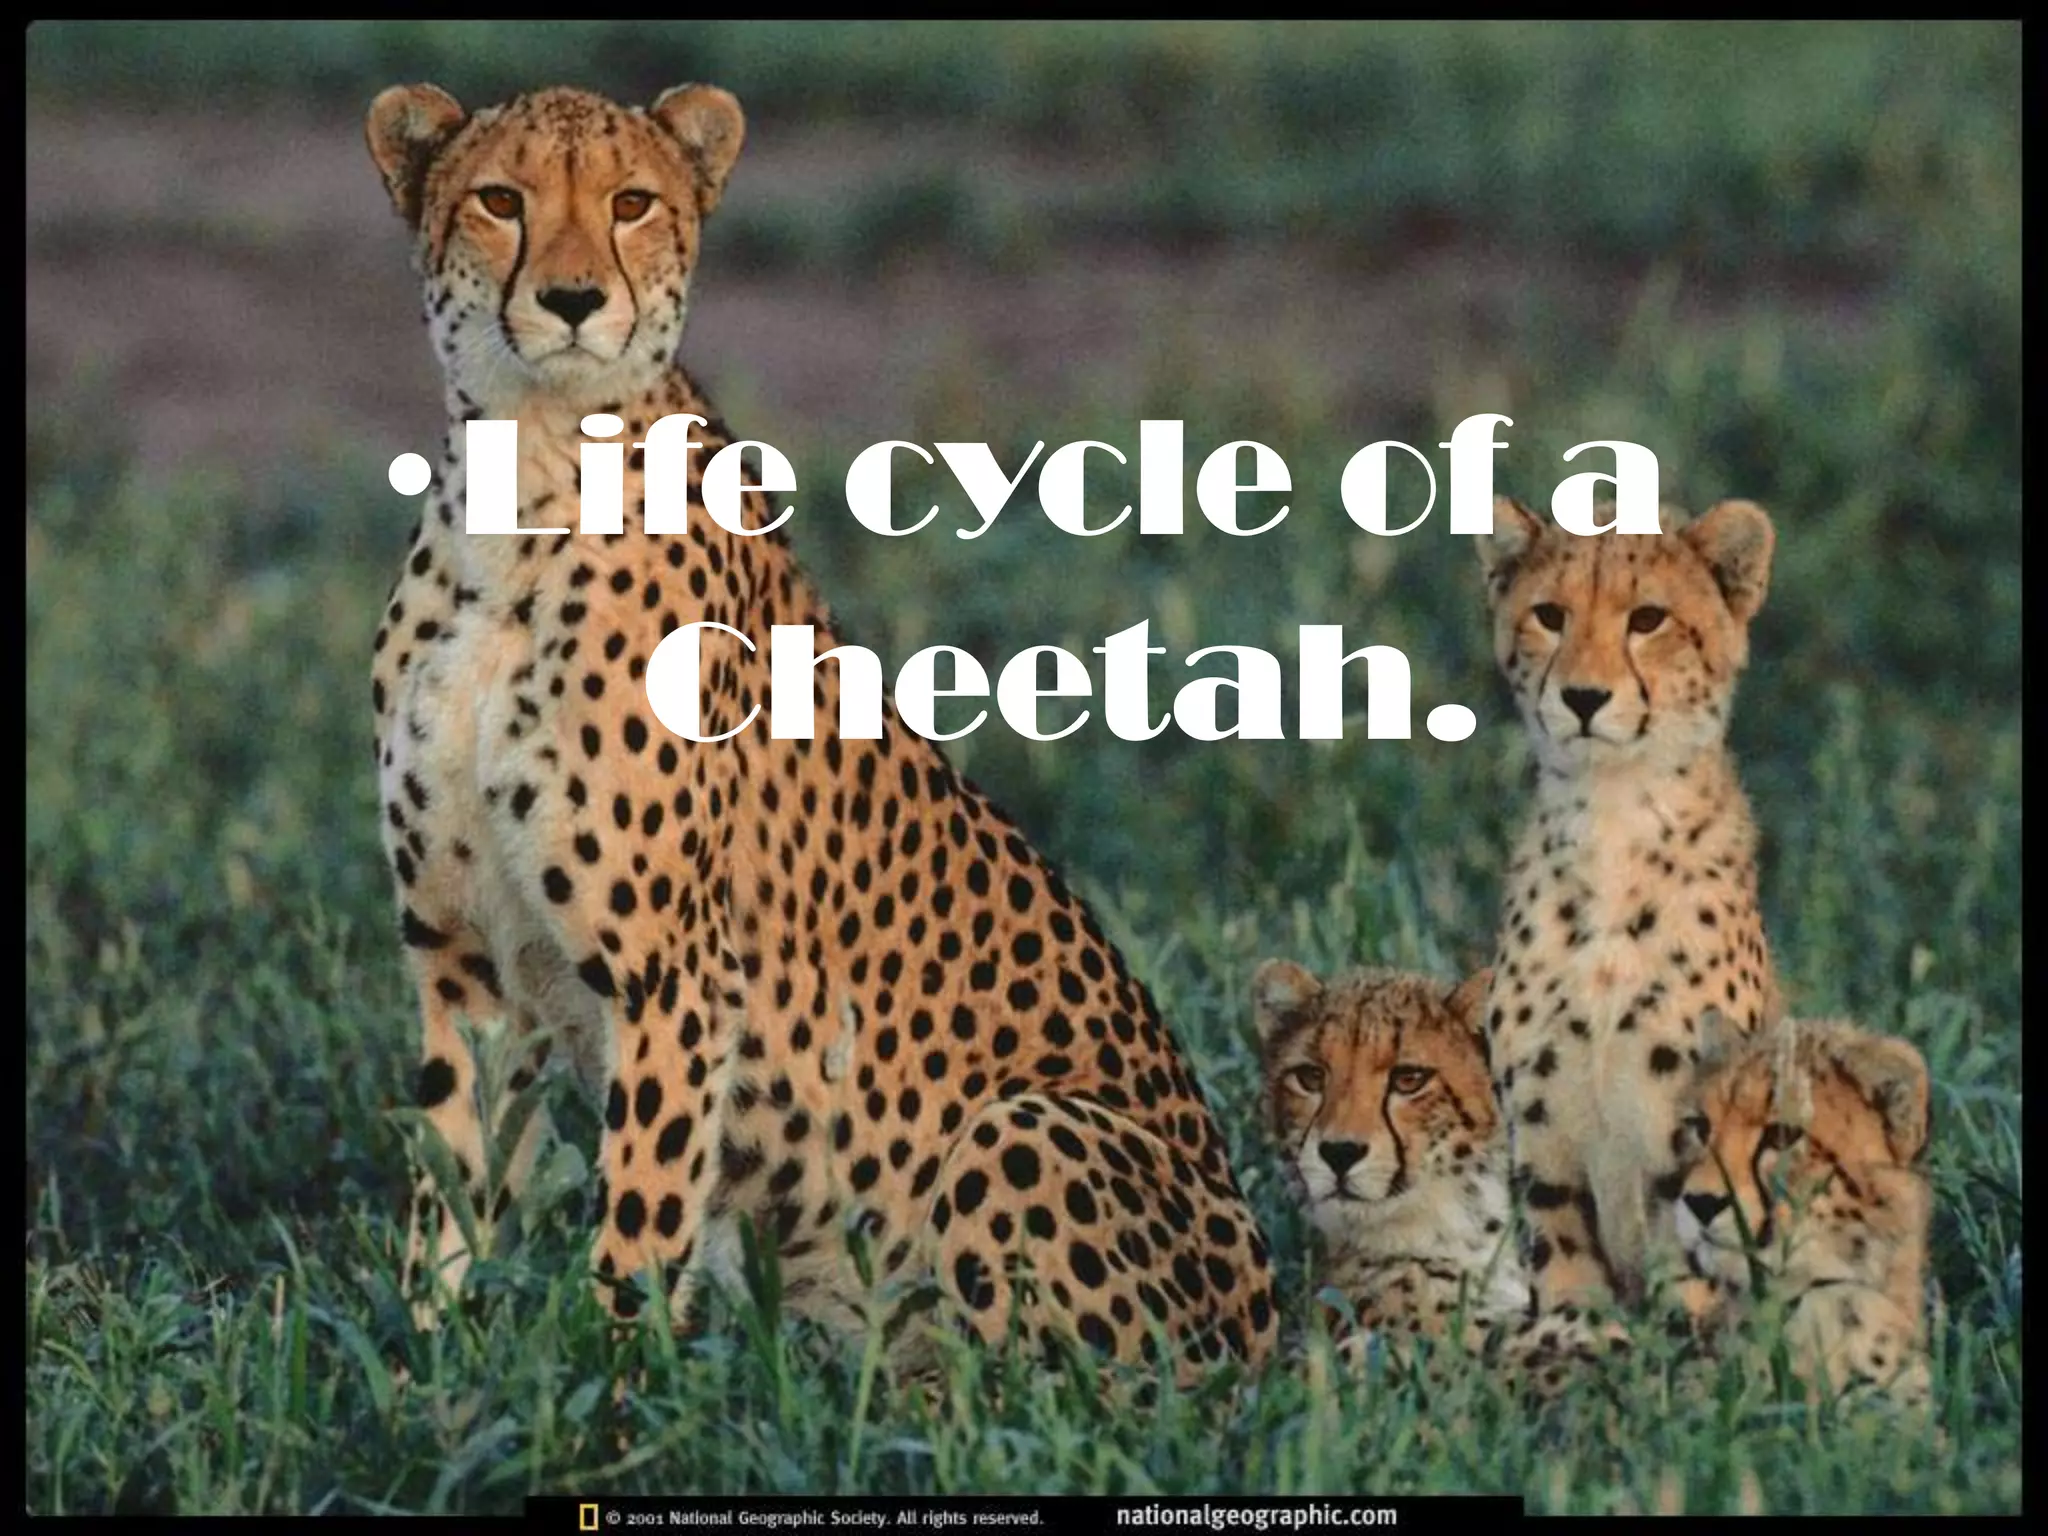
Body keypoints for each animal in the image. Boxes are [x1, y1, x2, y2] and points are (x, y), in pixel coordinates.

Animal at [362, 80, 1278, 1383]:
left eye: (630, 202)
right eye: (499, 199)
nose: (575, 298)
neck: (526, 481)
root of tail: (1274, 1322)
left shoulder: (673, 979)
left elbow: (636, 1222)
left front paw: (608, 1386)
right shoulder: (461, 958)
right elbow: (452, 1183)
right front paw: (426, 1362)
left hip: (1019, 1126)